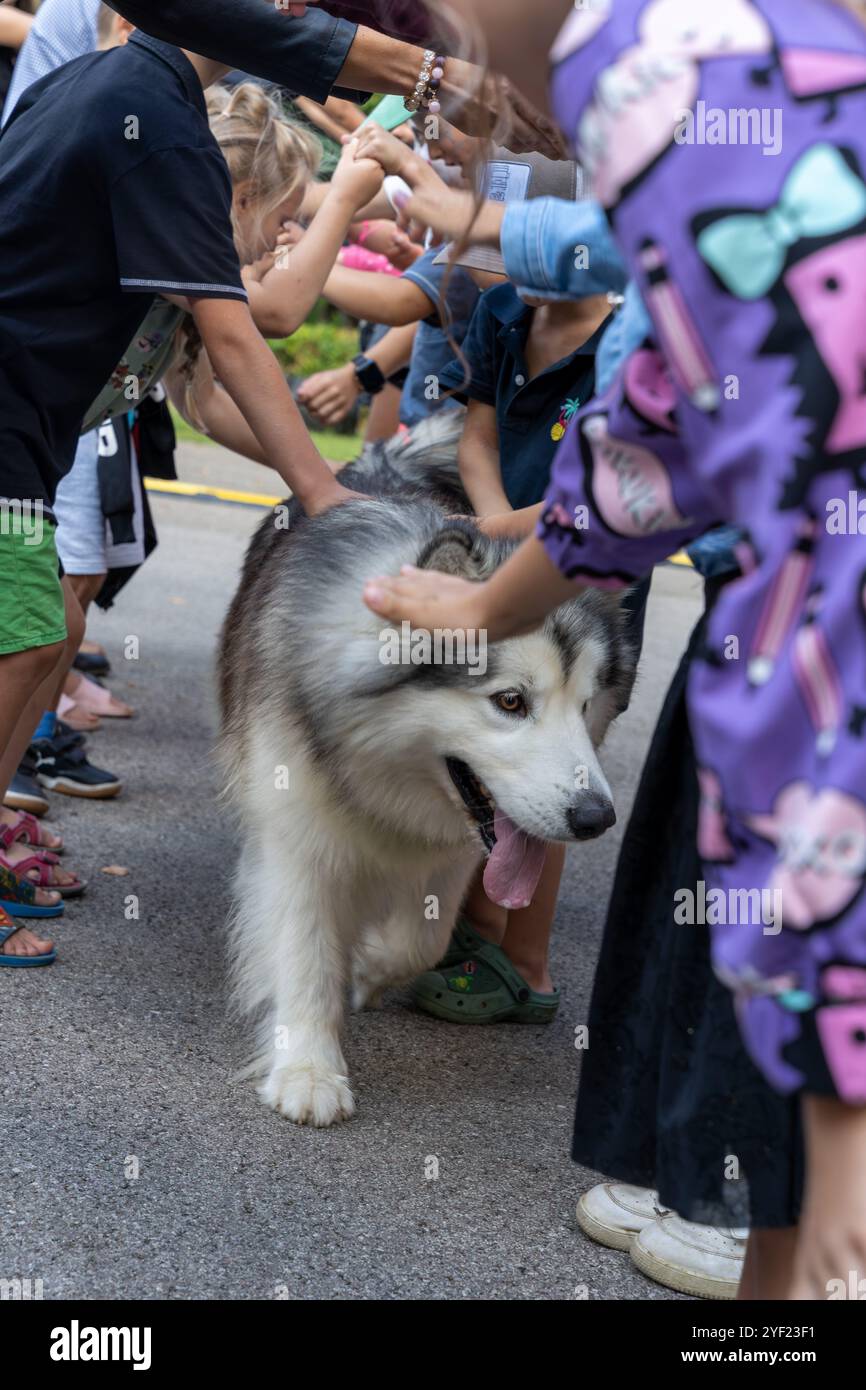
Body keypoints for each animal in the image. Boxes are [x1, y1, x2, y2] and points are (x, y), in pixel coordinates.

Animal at [216, 436, 636, 1128]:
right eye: (512, 701)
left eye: (584, 706)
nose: (595, 818)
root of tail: (389, 457)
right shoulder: (296, 831)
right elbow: (305, 949)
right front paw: (308, 1068)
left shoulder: (455, 854)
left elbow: (422, 940)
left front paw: (368, 969)